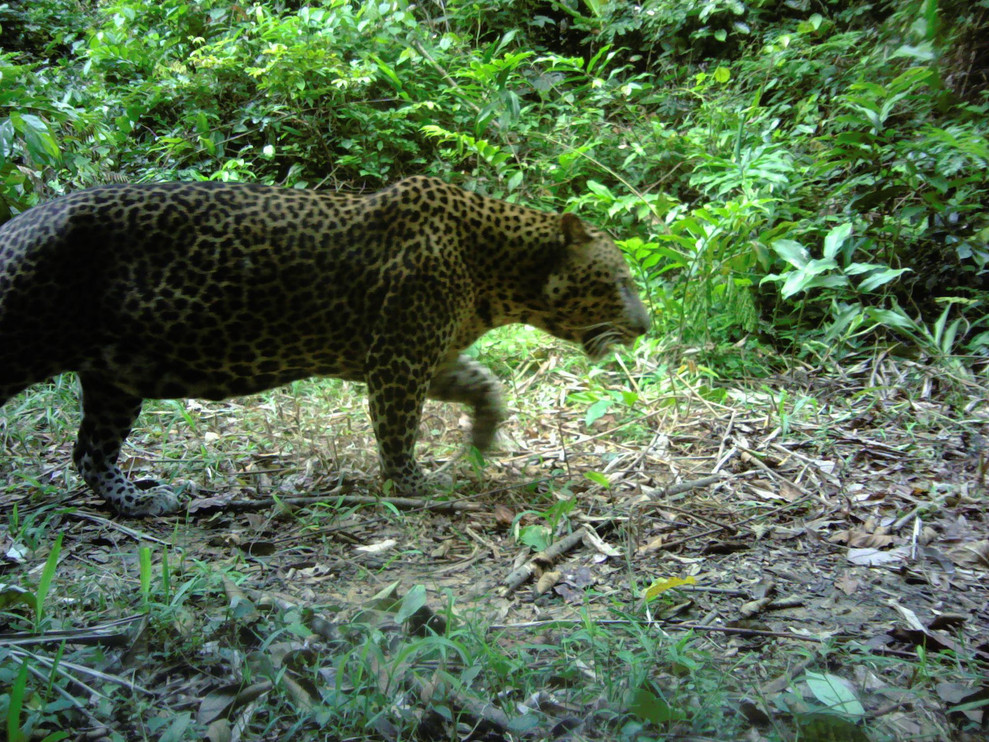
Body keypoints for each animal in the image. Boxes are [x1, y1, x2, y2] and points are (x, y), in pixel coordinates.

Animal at [0, 179, 652, 516]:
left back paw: (142, 500)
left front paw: (483, 437)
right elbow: (397, 430)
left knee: (90, 453)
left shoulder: (431, 356)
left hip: (114, 378)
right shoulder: (398, 361)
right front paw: (414, 488)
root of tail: (17, 225)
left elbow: (483, 383)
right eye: (620, 280)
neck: (498, 268)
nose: (645, 327)